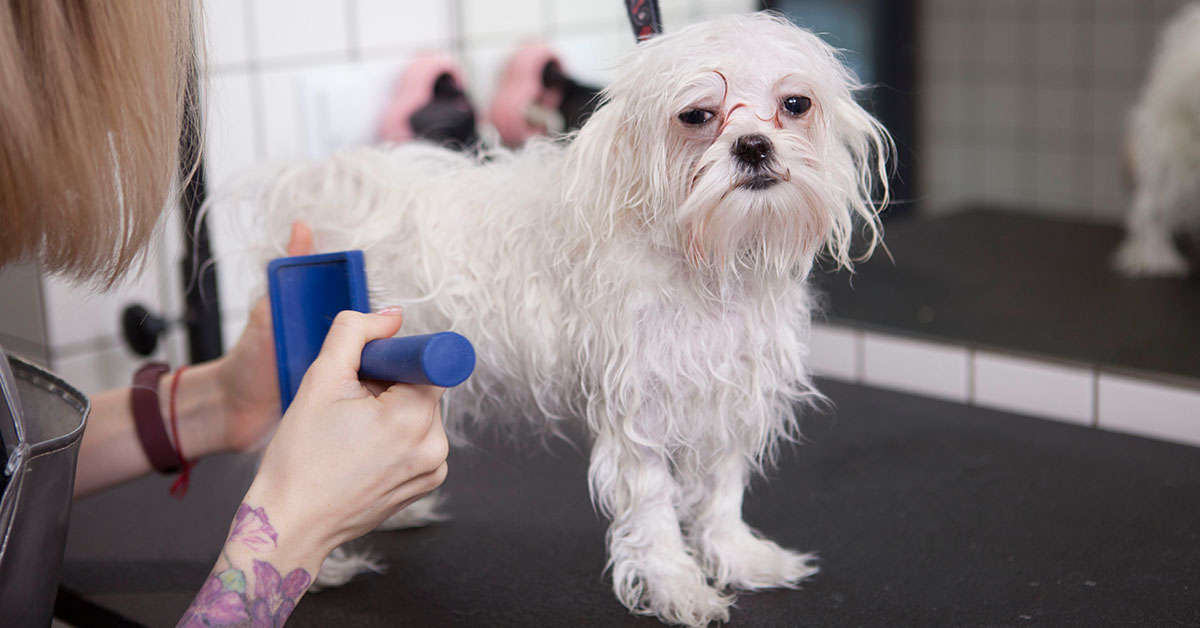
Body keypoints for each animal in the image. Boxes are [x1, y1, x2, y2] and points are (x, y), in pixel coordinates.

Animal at [248, 12, 892, 624]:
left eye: (795, 104)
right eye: (696, 115)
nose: (754, 145)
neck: (704, 263)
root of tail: (332, 186)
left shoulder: (728, 395)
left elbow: (720, 493)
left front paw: (737, 557)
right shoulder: (639, 412)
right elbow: (655, 508)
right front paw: (677, 586)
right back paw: (319, 561)